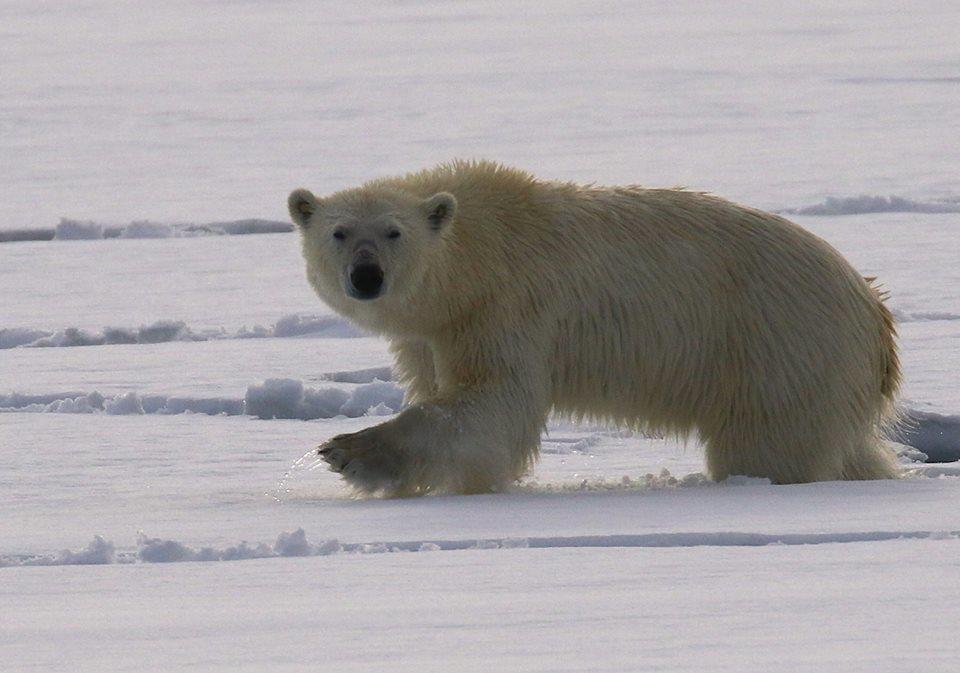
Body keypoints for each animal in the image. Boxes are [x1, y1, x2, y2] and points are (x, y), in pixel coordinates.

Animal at [288, 158, 904, 494]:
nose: (366, 276)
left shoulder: (506, 306)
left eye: (393, 232)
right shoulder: (434, 330)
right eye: (339, 232)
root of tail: (874, 311)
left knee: (768, 444)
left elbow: (491, 403)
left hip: (778, 344)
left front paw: (349, 450)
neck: (475, 254)